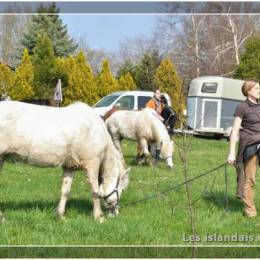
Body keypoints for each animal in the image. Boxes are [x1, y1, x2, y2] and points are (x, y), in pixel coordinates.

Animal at [0, 100, 130, 222]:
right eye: (123, 190)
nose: (115, 213)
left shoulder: (70, 166)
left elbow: (65, 191)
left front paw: (61, 215)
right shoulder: (92, 164)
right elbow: (95, 191)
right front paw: (99, 217)